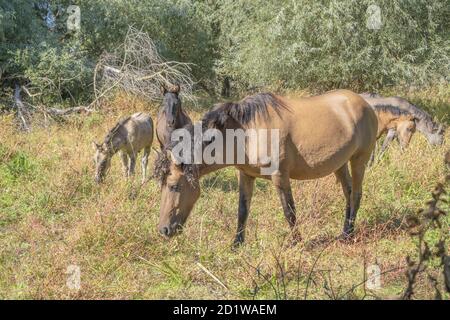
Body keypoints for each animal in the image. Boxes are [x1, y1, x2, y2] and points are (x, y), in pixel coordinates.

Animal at [155, 89, 380, 245]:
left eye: (174, 186)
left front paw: (297, 243)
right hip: (340, 164)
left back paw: (348, 235)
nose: (163, 230)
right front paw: (236, 244)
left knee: (356, 194)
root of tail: (366, 104)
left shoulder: (280, 176)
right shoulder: (245, 175)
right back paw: (345, 231)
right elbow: (242, 210)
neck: (247, 132)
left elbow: (289, 211)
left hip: (359, 160)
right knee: (348, 193)